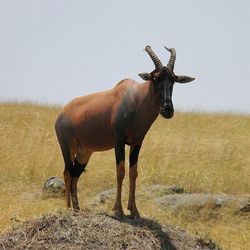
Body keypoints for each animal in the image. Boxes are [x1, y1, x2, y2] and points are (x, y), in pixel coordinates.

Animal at [55, 46, 195, 218]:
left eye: (174, 78)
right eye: (155, 77)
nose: (167, 109)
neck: (135, 98)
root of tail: (62, 112)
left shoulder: (137, 143)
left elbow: (133, 173)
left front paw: (134, 210)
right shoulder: (119, 141)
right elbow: (120, 171)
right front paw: (118, 210)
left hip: (84, 152)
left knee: (75, 175)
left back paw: (77, 209)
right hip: (67, 146)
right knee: (67, 173)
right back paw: (69, 209)